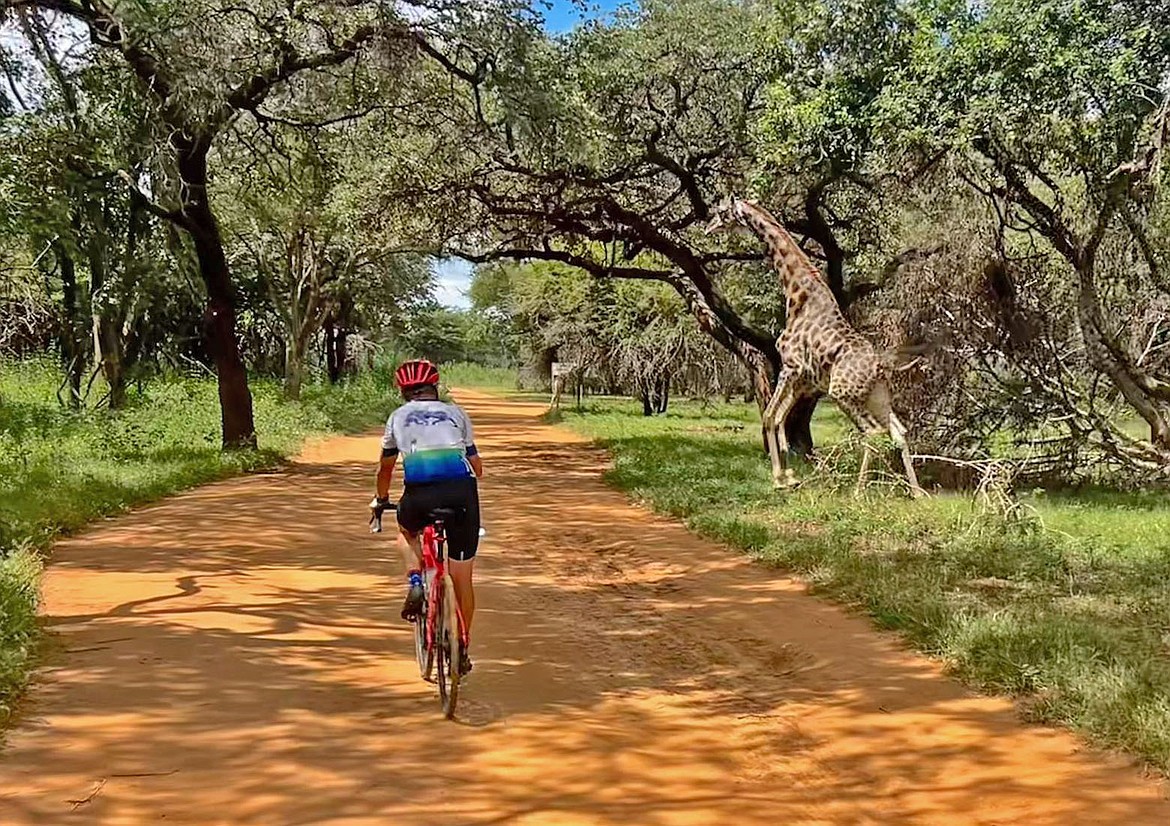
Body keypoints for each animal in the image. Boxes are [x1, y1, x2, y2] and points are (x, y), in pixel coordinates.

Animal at [702, 197, 921, 496]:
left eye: (723, 213)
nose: (708, 228)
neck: (798, 296)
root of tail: (880, 366)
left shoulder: (790, 367)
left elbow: (769, 416)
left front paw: (779, 478)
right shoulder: (803, 381)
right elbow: (779, 419)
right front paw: (789, 476)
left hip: (843, 393)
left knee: (873, 432)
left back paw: (857, 492)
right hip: (876, 395)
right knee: (899, 431)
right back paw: (917, 493)